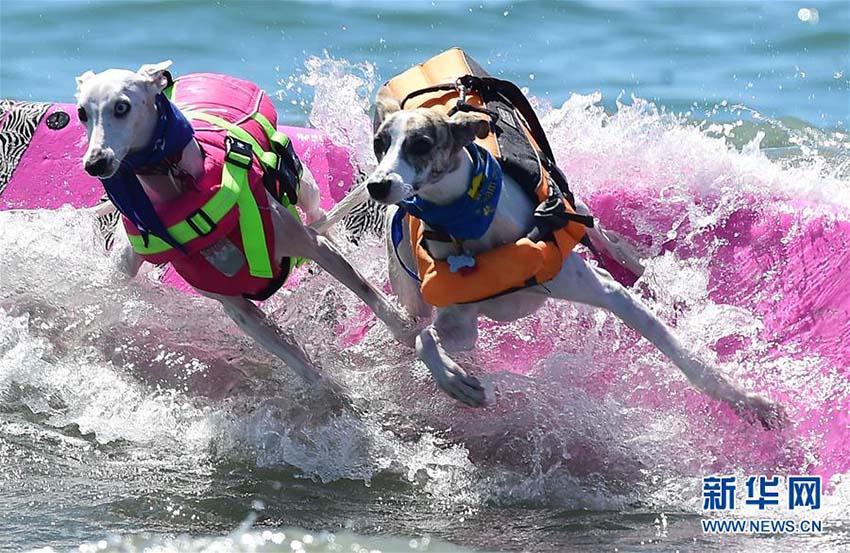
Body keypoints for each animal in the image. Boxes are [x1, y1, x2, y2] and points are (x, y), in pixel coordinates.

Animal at [76, 61, 414, 388]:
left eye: (122, 107)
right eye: (82, 113)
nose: (95, 163)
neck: (182, 190)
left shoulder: (313, 246)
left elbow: (369, 293)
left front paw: (406, 333)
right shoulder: (237, 309)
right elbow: (299, 362)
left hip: (305, 187)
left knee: (318, 215)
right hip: (126, 258)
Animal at [362, 92, 784, 430]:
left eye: (421, 143)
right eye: (379, 143)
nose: (377, 185)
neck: (474, 223)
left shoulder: (605, 289)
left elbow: (682, 353)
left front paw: (749, 402)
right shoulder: (460, 322)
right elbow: (426, 339)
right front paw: (455, 379)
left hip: (575, 208)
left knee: (609, 241)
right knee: (415, 322)